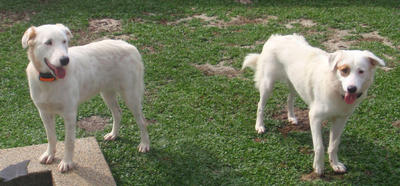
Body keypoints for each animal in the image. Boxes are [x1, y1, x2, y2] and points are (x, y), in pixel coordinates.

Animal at [22, 24, 150, 172]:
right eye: (48, 42)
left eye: (64, 41)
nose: (65, 60)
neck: (49, 80)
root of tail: (130, 45)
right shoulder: (44, 113)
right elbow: (51, 137)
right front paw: (50, 155)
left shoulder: (70, 114)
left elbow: (69, 141)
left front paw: (67, 162)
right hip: (107, 93)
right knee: (118, 113)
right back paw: (113, 134)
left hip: (131, 95)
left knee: (142, 121)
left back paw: (145, 144)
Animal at [242, 33, 386, 176]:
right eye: (344, 70)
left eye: (361, 71)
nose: (352, 89)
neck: (335, 88)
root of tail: (277, 36)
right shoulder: (315, 117)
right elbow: (319, 146)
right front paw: (318, 167)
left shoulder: (340, 119)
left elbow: (334, 145)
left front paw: (335, 164)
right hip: (268, 84)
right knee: (260, 106)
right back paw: (259, 126)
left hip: (295, 83)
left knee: (289, 99)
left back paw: (291, 117)